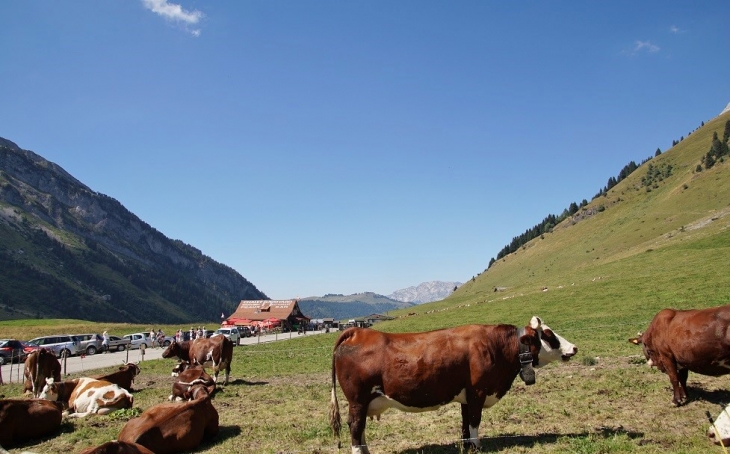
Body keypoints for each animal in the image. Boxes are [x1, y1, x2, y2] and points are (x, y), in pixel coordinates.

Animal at [328, 316, 576, 454]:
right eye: (548, 334)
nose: (573, 348)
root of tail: (358, 331)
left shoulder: (467, 396)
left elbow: (465, 423)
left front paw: (467, 446)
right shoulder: (478, 392)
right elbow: (475, 422)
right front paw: (477, 447)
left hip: (362, 402)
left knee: (360, 430)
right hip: (357, 400)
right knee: (355, 427)